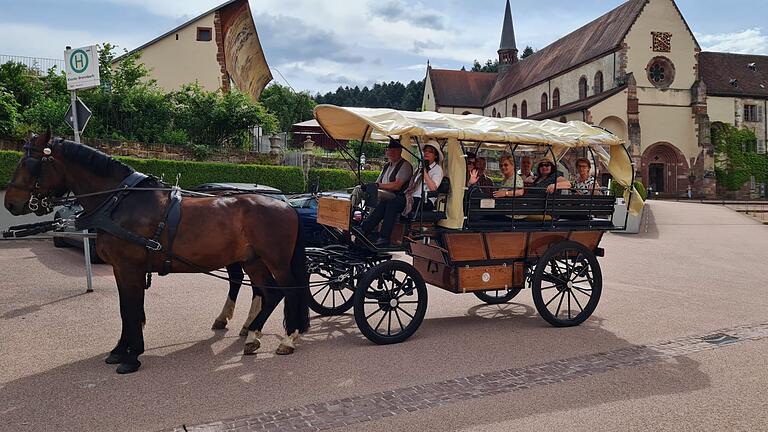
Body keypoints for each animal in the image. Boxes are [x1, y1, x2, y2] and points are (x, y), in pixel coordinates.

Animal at [3, 133, 308, 372]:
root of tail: (286, 205)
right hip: (252, 260)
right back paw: (252, 335)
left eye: (28, 163)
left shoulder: (130, 268)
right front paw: (120, 350)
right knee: (269, 293)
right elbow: (126, 309)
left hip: (276, 260)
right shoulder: (120, 269)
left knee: (289, 290)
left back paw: (287, 339)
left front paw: (132, 355)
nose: (10, 203)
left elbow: (131, 308)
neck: (120, 201)